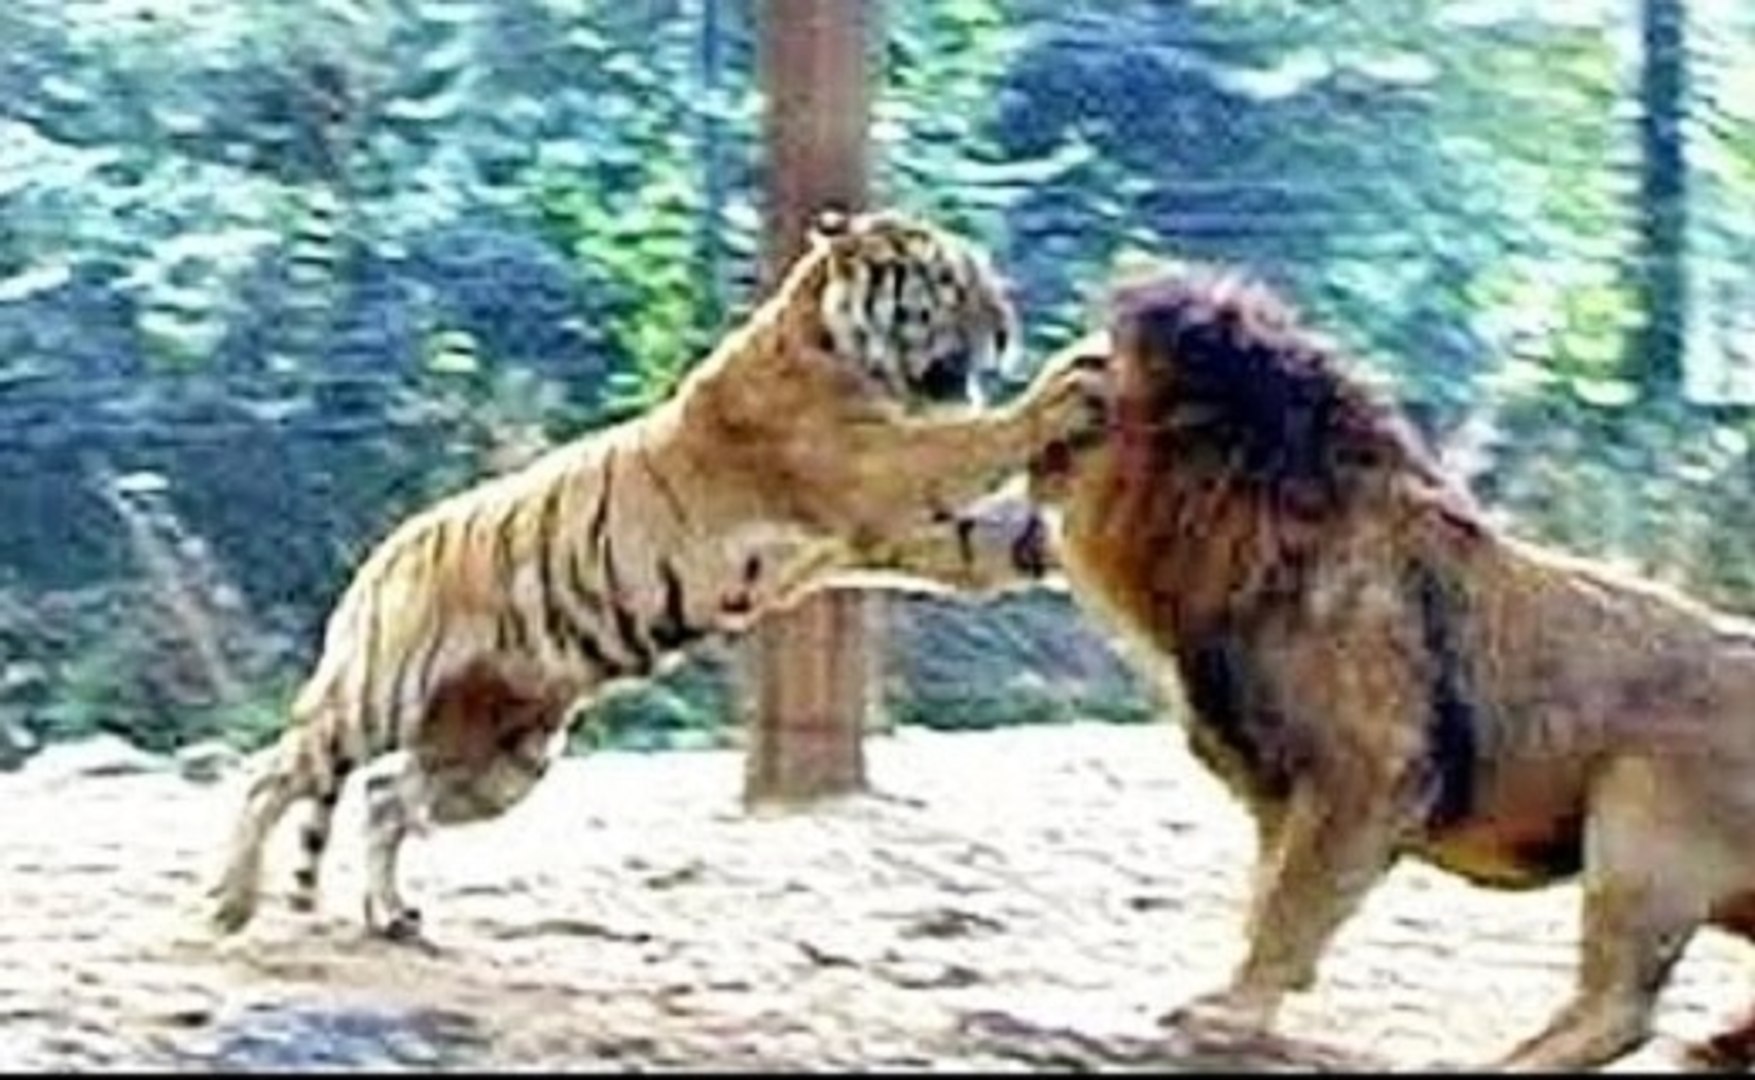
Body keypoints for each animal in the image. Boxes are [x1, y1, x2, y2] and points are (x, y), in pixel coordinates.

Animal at [205, 209, 1107, 942]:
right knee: (274, 773)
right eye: (951, 281)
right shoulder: (875, 470)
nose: (1006, 329)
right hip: (378, 693)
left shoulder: (904, 531)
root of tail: (379, 555)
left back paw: (389, 915)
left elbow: (1005, 534)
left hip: (499, 756)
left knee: (387, 795)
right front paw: (1064, 390)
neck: (827, 337)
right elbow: (976, 436)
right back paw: (230, 903)